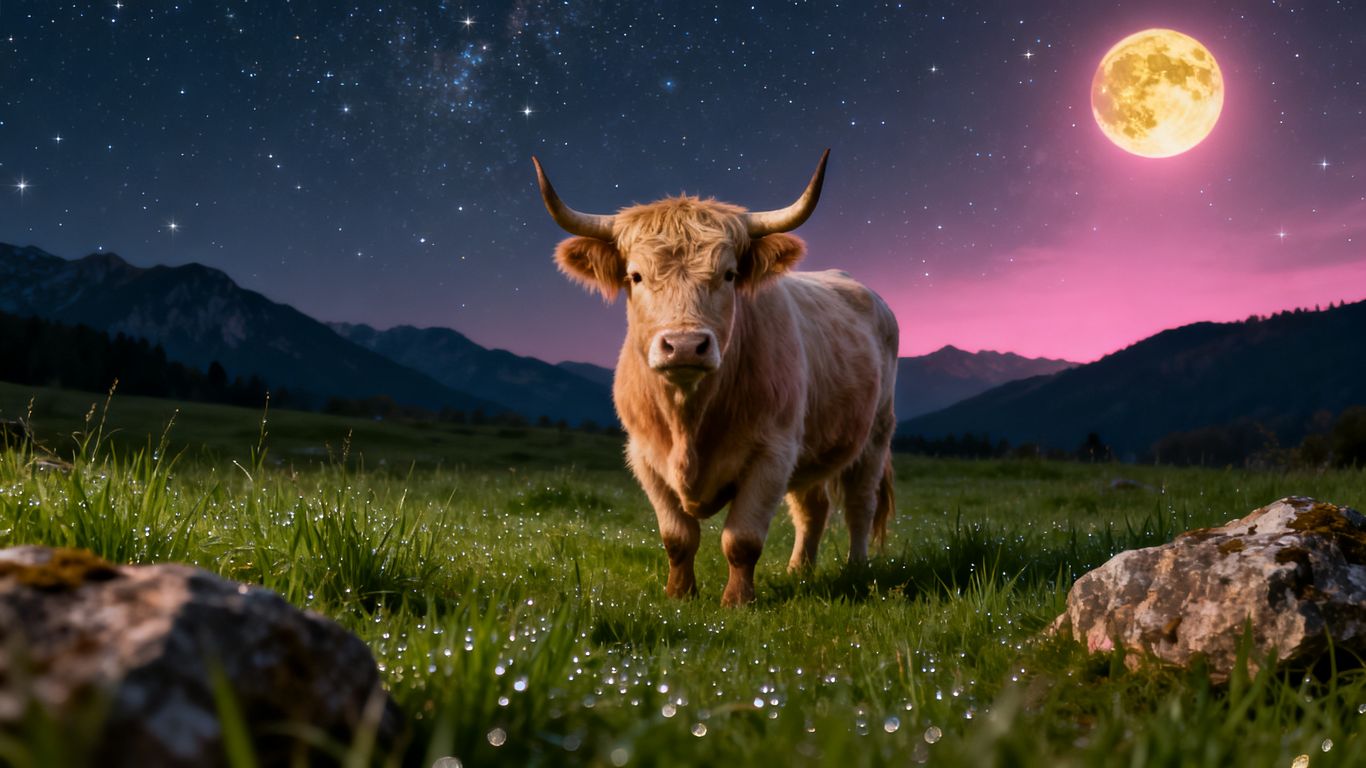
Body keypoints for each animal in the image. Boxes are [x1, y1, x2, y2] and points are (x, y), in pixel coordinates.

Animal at [534, 150, 898, 605]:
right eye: (635, 276)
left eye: (728, 275)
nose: (685, 345)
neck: (689, 420)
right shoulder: (644, 457)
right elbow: (677, 537)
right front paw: (679, 594)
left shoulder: (772, 453)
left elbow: (741, 539)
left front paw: (738, 601)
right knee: (812, 508)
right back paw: (799, 571)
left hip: (875, 435)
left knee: (859, 505)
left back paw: (856, 569)